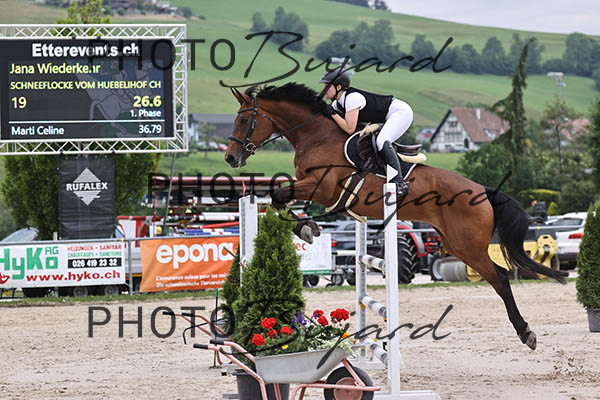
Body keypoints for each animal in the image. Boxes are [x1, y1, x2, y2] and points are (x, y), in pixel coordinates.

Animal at [224, 82, 568, 350]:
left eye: (244, 119)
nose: (230, 157)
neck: (316, 136)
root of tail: (482, 191)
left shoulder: (322, 187)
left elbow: (280, 195)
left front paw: (307, 228)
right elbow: (279, 198)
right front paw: (307, 226)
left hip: (469, 246)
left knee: (500, 277)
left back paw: (526, 333)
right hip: (455, 245)